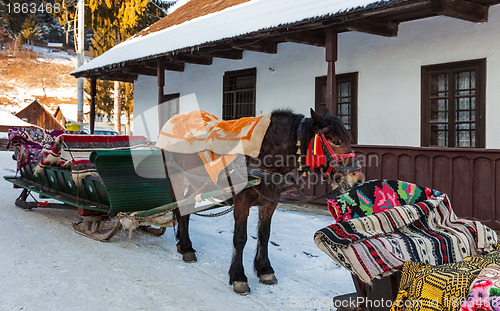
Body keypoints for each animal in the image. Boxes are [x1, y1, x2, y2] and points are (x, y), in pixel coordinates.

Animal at [164, 109, 364, 294]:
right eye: (336, 141)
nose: (358, 179)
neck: (263, 157)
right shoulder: (242, 203)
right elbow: (240, 238)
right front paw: (238, 276)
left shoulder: (270, 203)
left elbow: (264, 235)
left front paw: (265, 269)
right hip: (178, 177)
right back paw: (186, 246)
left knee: (186, 208)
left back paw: (184, 244)